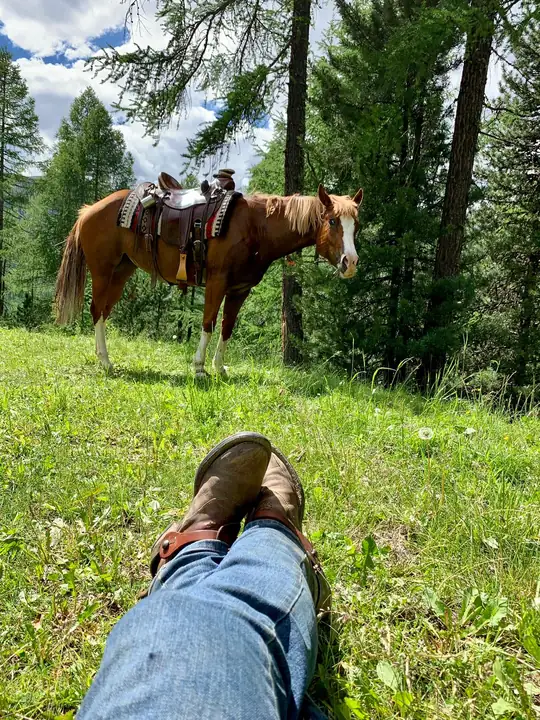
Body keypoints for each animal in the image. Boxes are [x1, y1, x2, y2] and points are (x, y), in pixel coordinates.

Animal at [54, 183, 363, 376]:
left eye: (356, 225)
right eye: (333, 221)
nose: (350, 263)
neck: (254, 227)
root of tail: (88, 210)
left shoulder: (240, 290)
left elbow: (227, 327)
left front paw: (219, 367)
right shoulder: (217, 282)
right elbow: (208, 323)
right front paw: (200, 367)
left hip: (121, 271)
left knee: (103, 312)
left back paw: (101, 357)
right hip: (103, 271)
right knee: (96, 311)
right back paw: (106, 362)